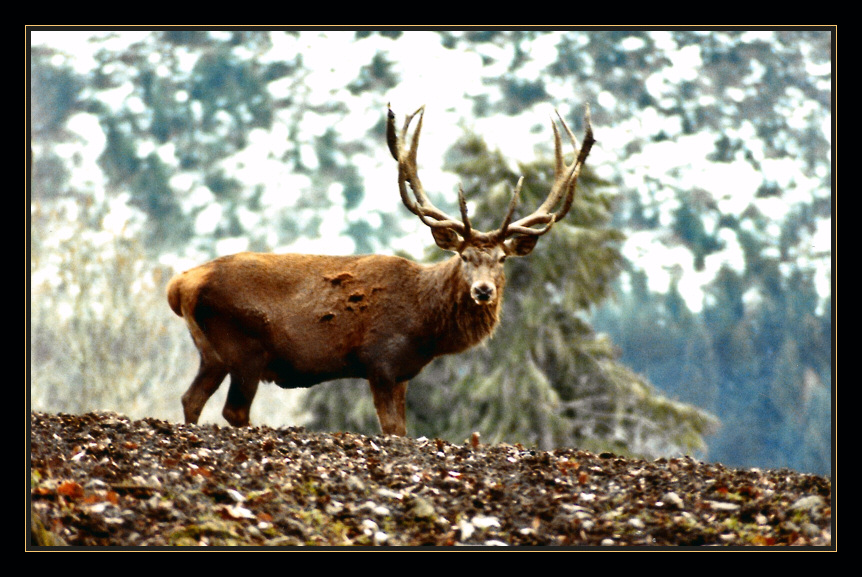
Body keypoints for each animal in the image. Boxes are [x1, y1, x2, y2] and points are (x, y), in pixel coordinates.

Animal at [167, 104, 592, 436]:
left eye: (502, 259)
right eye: (464, 257)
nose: (484, 290)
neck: (425, 326)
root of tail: (180, 285)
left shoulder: (402, 373)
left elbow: (402, 429)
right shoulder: (380, 361)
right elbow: (390, 429)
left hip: (212, 352)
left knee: (191, 398)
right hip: (244, 347)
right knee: (233, 409)